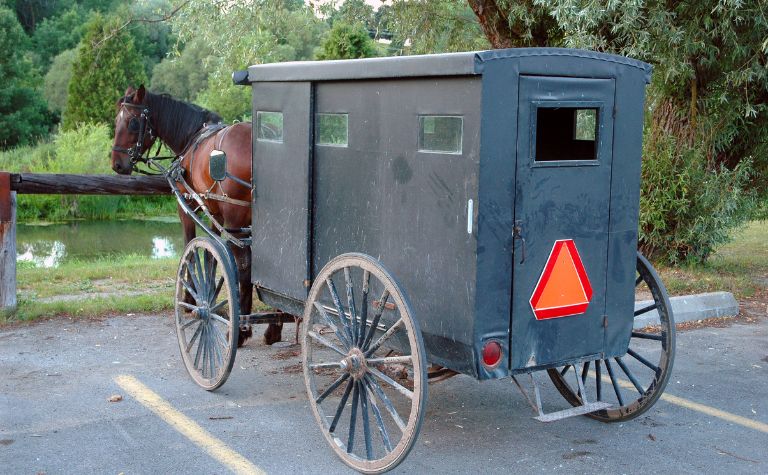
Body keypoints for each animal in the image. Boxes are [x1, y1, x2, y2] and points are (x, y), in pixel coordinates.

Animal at [111, 85, 284, 346]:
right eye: (116, 120)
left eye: (132, 122)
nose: (117, 164)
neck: (191, 137)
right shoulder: (215, 215)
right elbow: (211, 256)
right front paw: (208, 293)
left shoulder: (188, 208)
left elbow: (191, 249)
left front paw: (190, 299)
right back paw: (274, 326)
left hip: (236, 220)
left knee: (246, 266)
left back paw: (242, 330)